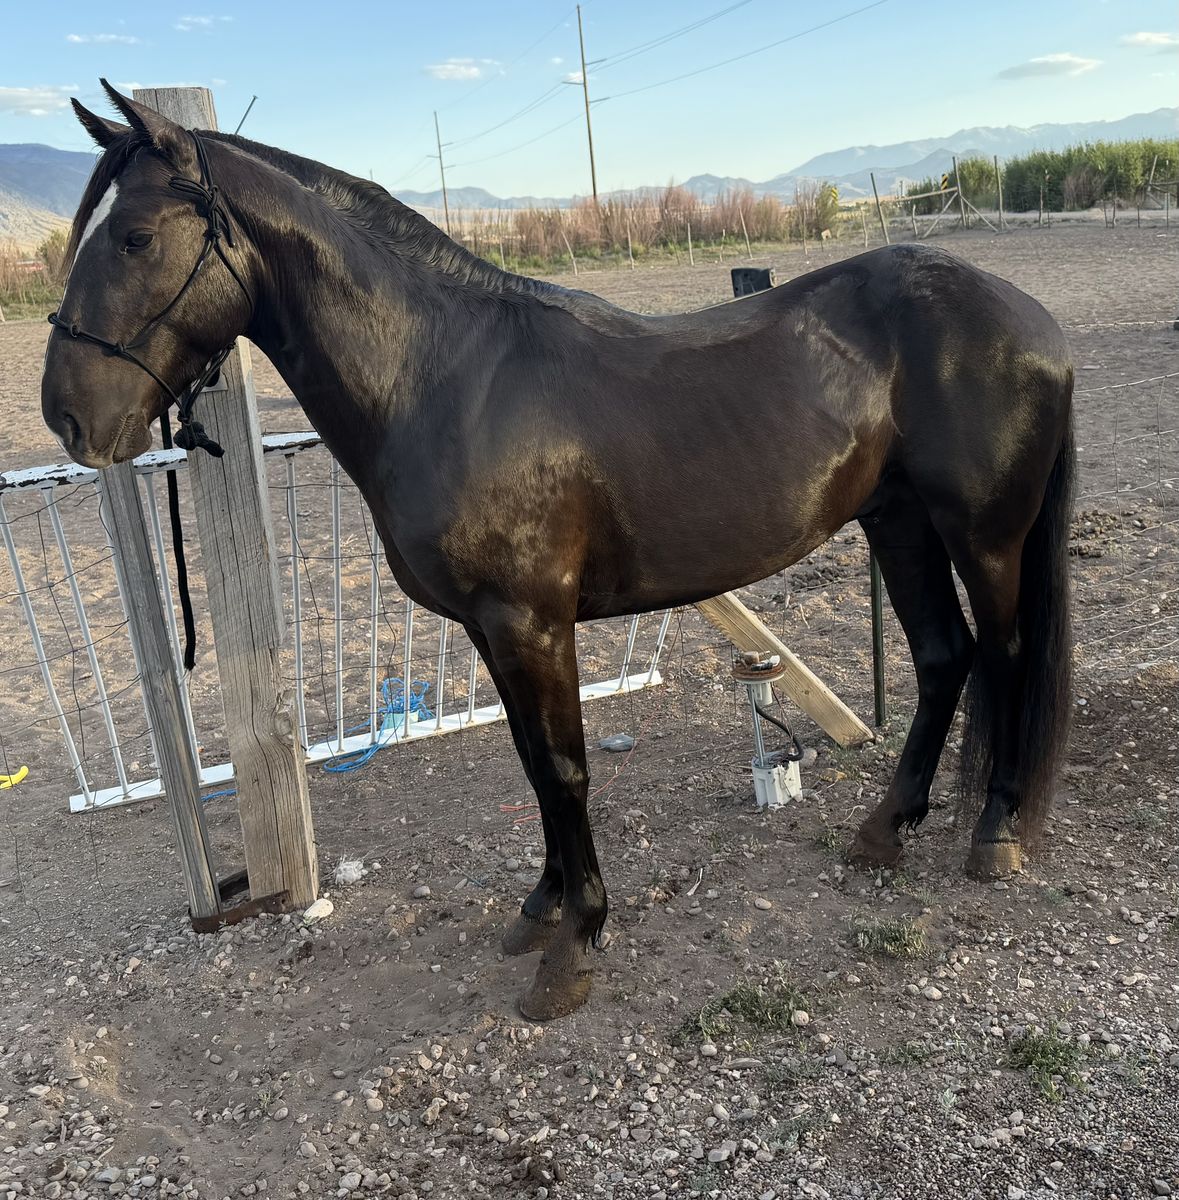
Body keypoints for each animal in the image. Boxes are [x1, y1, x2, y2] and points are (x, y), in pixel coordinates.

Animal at [42, 84, 1075, 1021]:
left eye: (134, 237)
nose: (69, 417)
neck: (443, 378)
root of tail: (1027, 317)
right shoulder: (491, 630)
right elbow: (532, 764)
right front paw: (541, 907)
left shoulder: (531, 622)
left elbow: (566, 767)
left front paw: (575, 944)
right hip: (897, 523)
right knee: (942, 659)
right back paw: (885, 830)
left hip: (983, 535)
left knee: (1004, 655)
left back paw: (992, 832)